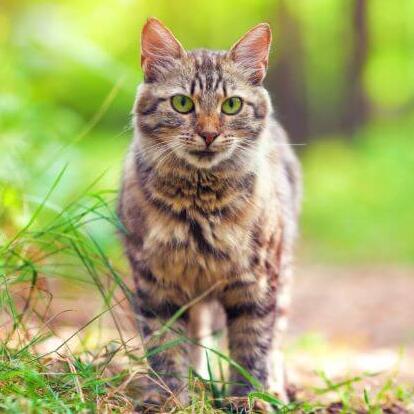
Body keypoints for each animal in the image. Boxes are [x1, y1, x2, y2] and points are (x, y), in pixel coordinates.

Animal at [118, 17, 302, 412]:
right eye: (182, 103)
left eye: (231, 105)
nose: (208, 134)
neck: (199, 206)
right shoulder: (157, 285)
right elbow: (166, 347)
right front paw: (168, 397)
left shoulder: (256, 284)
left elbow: (252, 349)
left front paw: (249, 398)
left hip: (282, 272)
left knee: (277, 340)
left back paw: (277, 389)